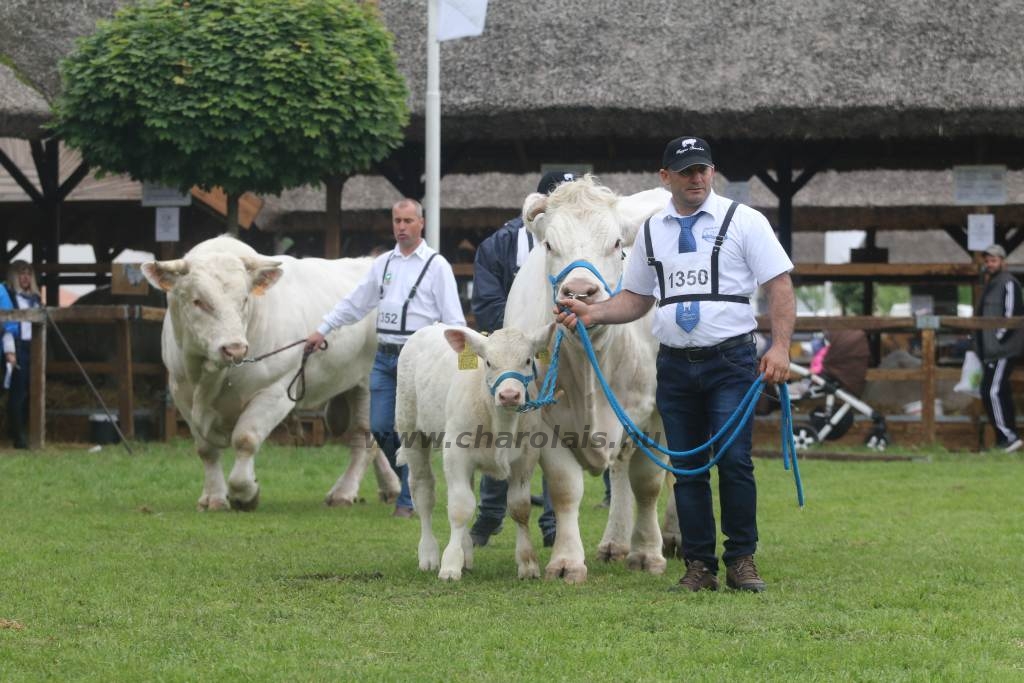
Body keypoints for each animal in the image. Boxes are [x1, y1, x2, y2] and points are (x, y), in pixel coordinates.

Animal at [142, 237, 397, 509]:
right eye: (198, 301)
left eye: (244, 299)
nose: (234, 348)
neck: (211, 376)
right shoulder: (182, 394)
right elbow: (206, 450)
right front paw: (214, 497)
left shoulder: (276, 391)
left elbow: (245, 439)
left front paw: (245, 493)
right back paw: (390, 487)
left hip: (370, 385)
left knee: (364, 438)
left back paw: (344, 492)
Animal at [393, 323, 552, 581]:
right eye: (488, 362)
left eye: (528, 360)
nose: (509, 395)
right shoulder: (456, 453)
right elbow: (460, 508)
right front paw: (450, 564)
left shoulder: (526, 458)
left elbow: (519, 508)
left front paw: (528, 563)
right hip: (412, 432)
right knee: (423, 492)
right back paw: (429, 554)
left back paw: (466, 553)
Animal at [503, 175, 671, 581]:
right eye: (550, 244)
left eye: (616, 244)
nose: (579, 292)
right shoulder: (546, 419)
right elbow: (566, 489)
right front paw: (566, 562)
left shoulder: (657, 411)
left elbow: (649, 483)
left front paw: (648, 553)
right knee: (621, 467)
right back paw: (615, 543)